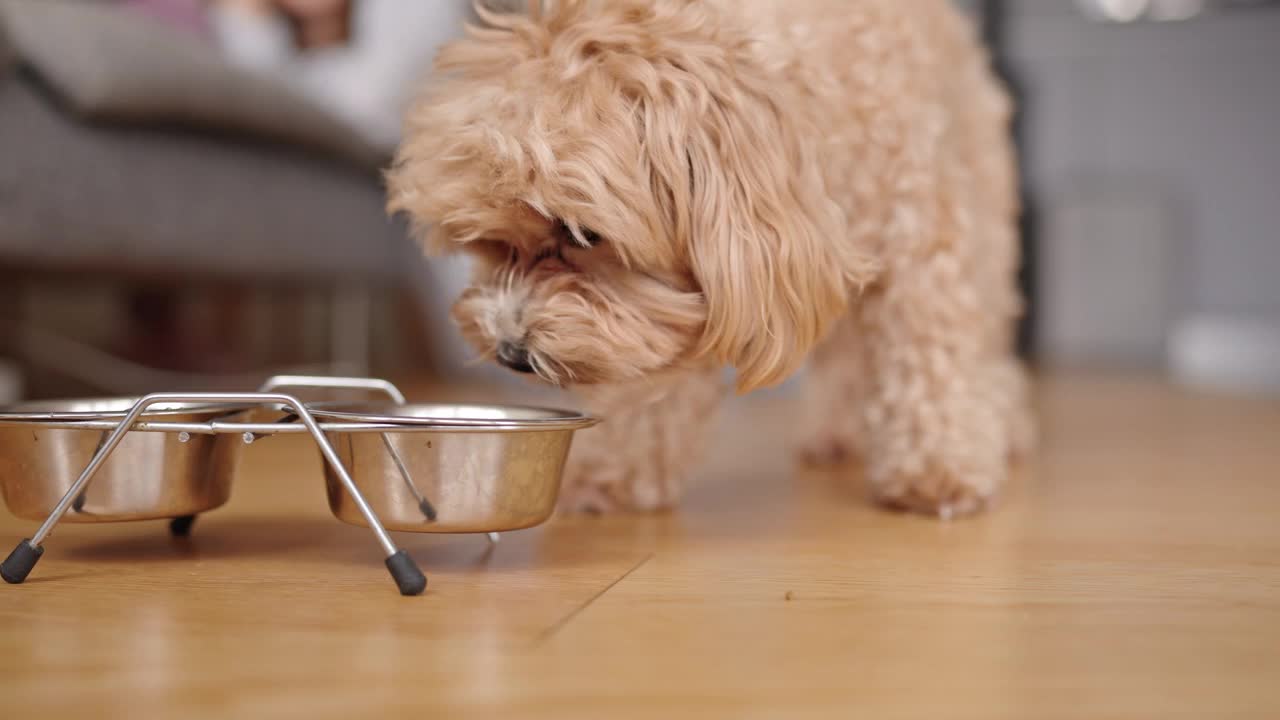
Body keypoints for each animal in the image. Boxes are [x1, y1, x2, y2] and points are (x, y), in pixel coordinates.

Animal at [386, 0, 1029, 515]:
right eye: (489, 241)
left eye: (580, 233)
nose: (510, 352)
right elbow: (648, 389)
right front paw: (615, 474)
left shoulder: (921, 239)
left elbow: (931, 356)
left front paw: (939, 470)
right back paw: (835, 434)